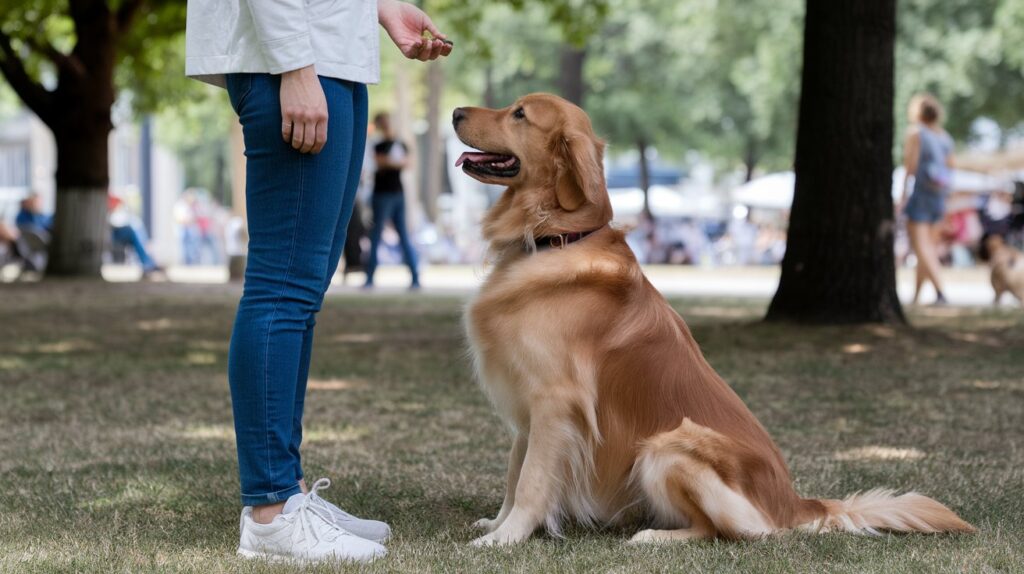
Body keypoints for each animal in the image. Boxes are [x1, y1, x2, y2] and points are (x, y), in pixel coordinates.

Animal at [452, 91, 970, 544]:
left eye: (519, 113)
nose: (455, 111)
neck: (557, 238)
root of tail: (796, 502)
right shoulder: (528, 406)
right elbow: (514, 472)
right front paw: (497, 523)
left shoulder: (555, 403)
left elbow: (531, 482)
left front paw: (505, 539)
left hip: (666, 445)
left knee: (730, 532)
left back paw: (654, 537)